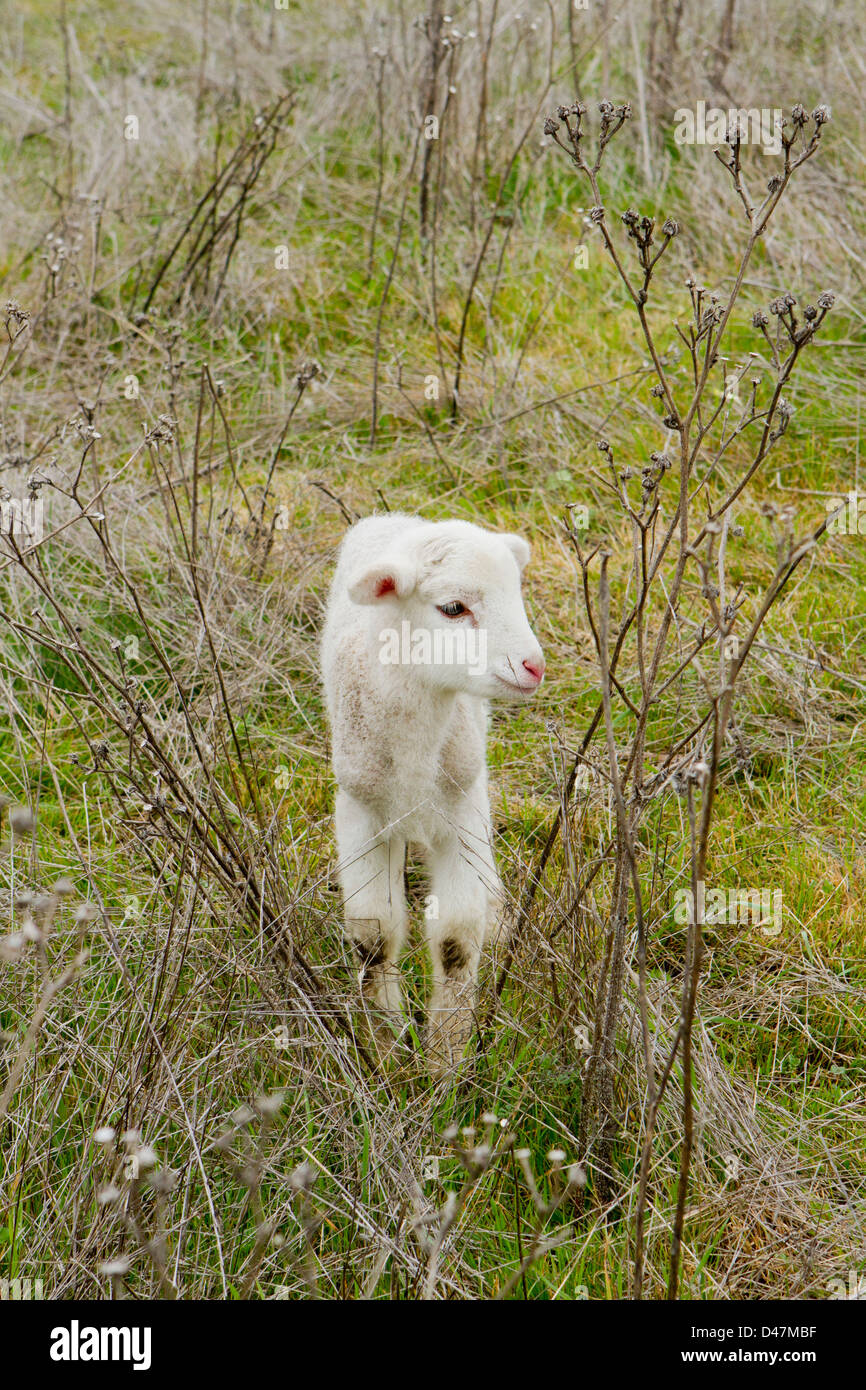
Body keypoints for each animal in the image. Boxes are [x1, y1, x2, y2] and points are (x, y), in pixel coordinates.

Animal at [321, 513, 545, 1076]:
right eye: (453, 608)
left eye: (517, 593)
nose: (533, 666)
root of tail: (403, 520)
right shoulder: (359, 811)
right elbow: (374, 937)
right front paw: (387, 1049)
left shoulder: (461, 811)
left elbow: (456, 941)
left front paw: (446, 1058)